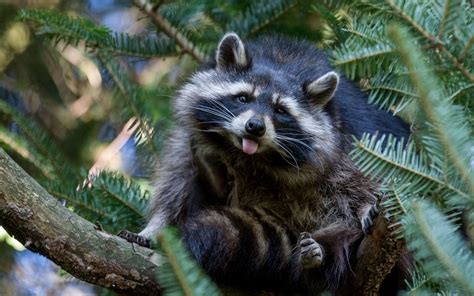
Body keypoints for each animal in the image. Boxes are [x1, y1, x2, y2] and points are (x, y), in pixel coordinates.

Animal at [119, 33, 412, 294]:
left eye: (281, 110)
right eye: (243, 98)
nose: (255, 127)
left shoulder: (348, 141)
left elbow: (361, 180)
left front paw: (364, 207)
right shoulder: (191, 138)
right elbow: (176, 183)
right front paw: (156, 227)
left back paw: (322, 255)